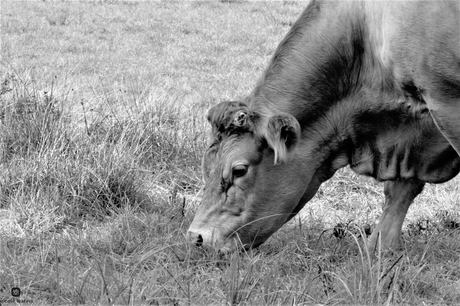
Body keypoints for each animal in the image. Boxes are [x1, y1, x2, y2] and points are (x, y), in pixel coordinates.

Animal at [186, 0, 460, 253]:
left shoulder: (446, 100)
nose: (196, 238)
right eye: (206, 166)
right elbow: (399, 192)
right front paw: (380, 249)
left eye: (239, 170)